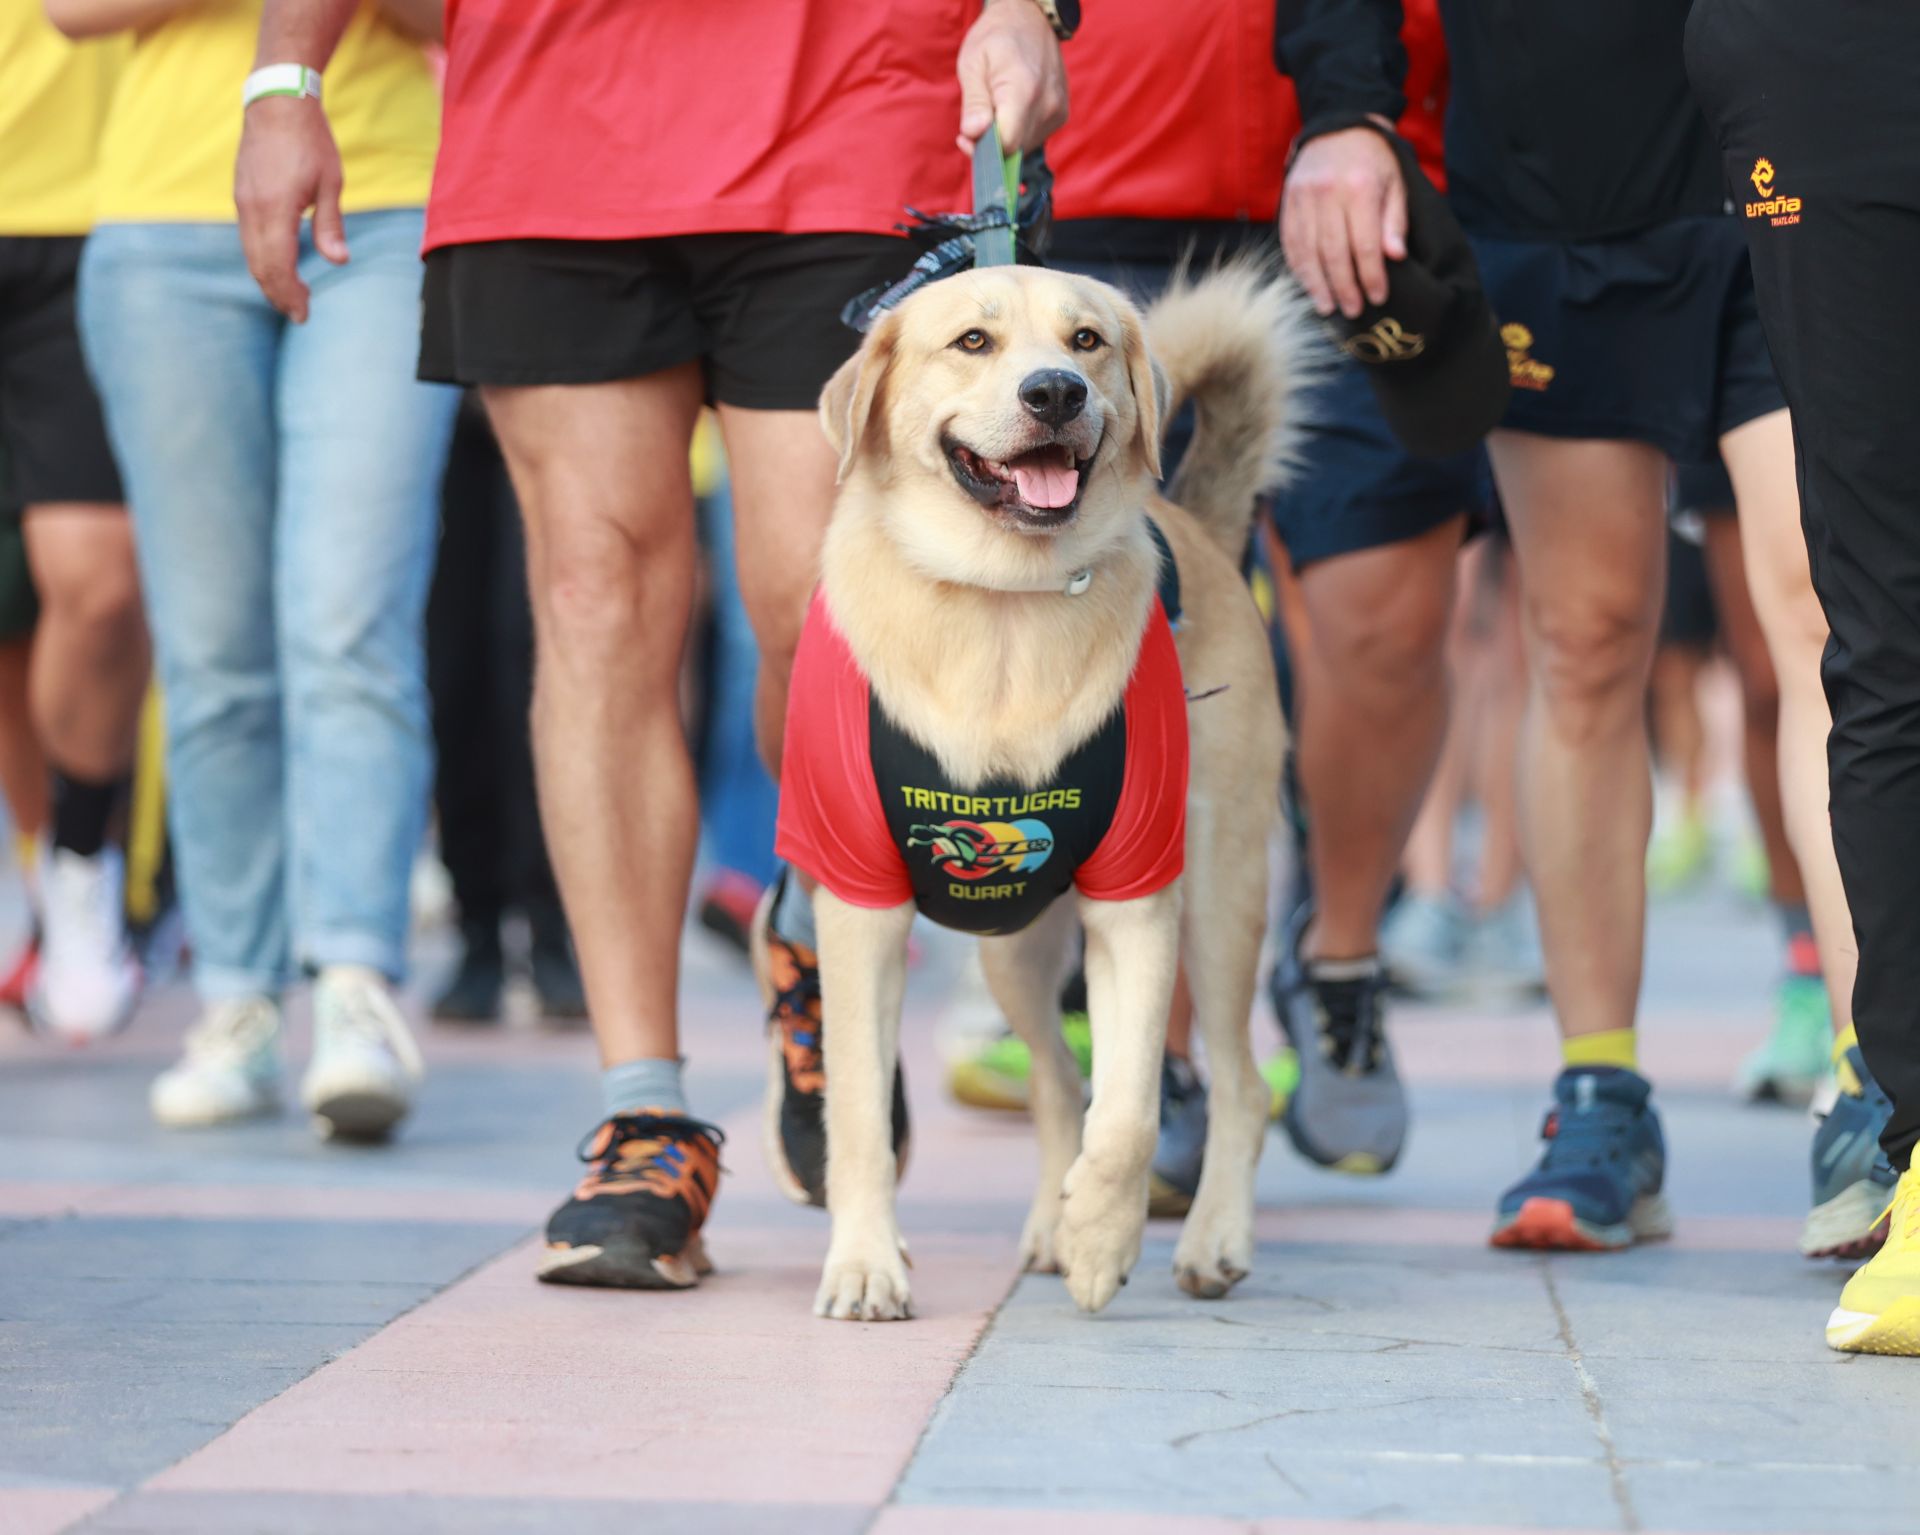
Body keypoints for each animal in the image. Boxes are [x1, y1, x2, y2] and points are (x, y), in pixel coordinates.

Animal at [794, 257, 1305, 1314]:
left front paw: (1102, 1237)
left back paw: (1208, 1237)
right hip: (1013, 952)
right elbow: (859, 1110)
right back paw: (1045, 1225)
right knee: (1055, 1082)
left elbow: (1133, 1109)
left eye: (1086, 341)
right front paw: (864, 1264)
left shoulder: (1139, 904)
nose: (1056, 394)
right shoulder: (857, 907)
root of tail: (1202, 526)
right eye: (973, 341)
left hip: (1222, 896)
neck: (1004, 606)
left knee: (1235, 1084)